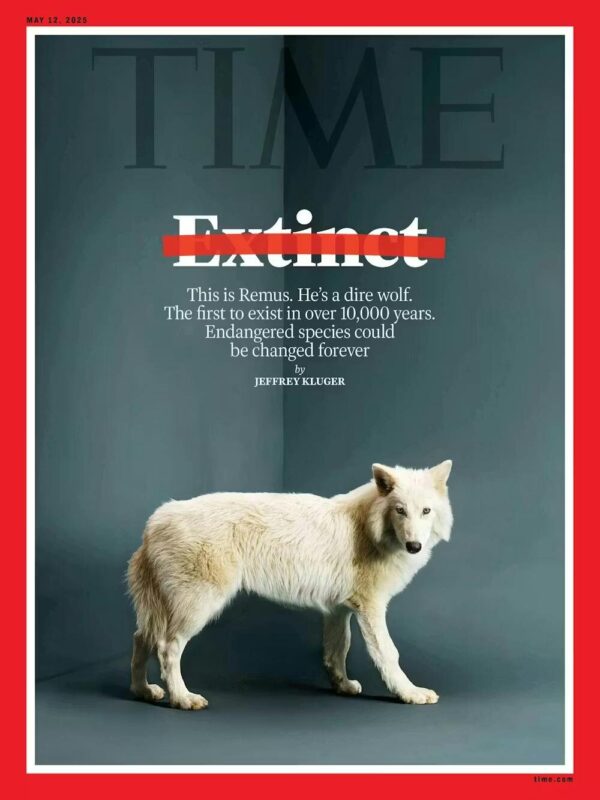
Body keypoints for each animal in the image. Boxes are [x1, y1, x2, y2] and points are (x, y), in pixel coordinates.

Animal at [127, 460, 453, 710]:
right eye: (400, 510)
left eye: (426, 511)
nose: (414, 546)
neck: (368, 529)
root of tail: (154, 522)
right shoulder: (370, 608)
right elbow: (388, 653)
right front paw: (410, 693)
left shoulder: (338, 611)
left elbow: (337, 650)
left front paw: (343, 685)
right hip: (198, 608)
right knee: (166, 647)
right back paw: (182, 698)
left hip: (162, 610)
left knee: (140, 638)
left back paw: (143, 691)